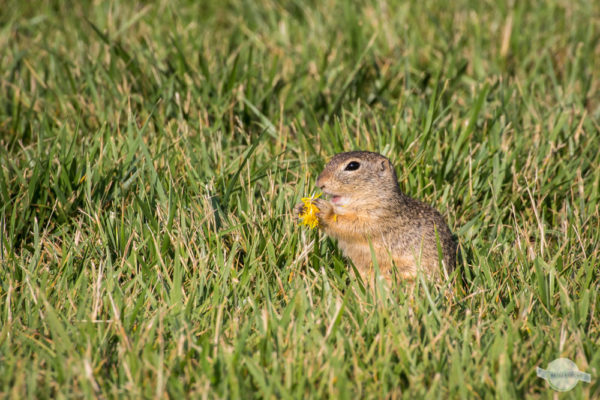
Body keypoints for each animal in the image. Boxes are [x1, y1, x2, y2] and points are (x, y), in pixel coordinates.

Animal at [294, 151, 454, 284]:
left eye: (353, 165)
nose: (319, 182)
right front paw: (300, 208)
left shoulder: (377, 218)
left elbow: (350, 226)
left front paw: (324, 210)